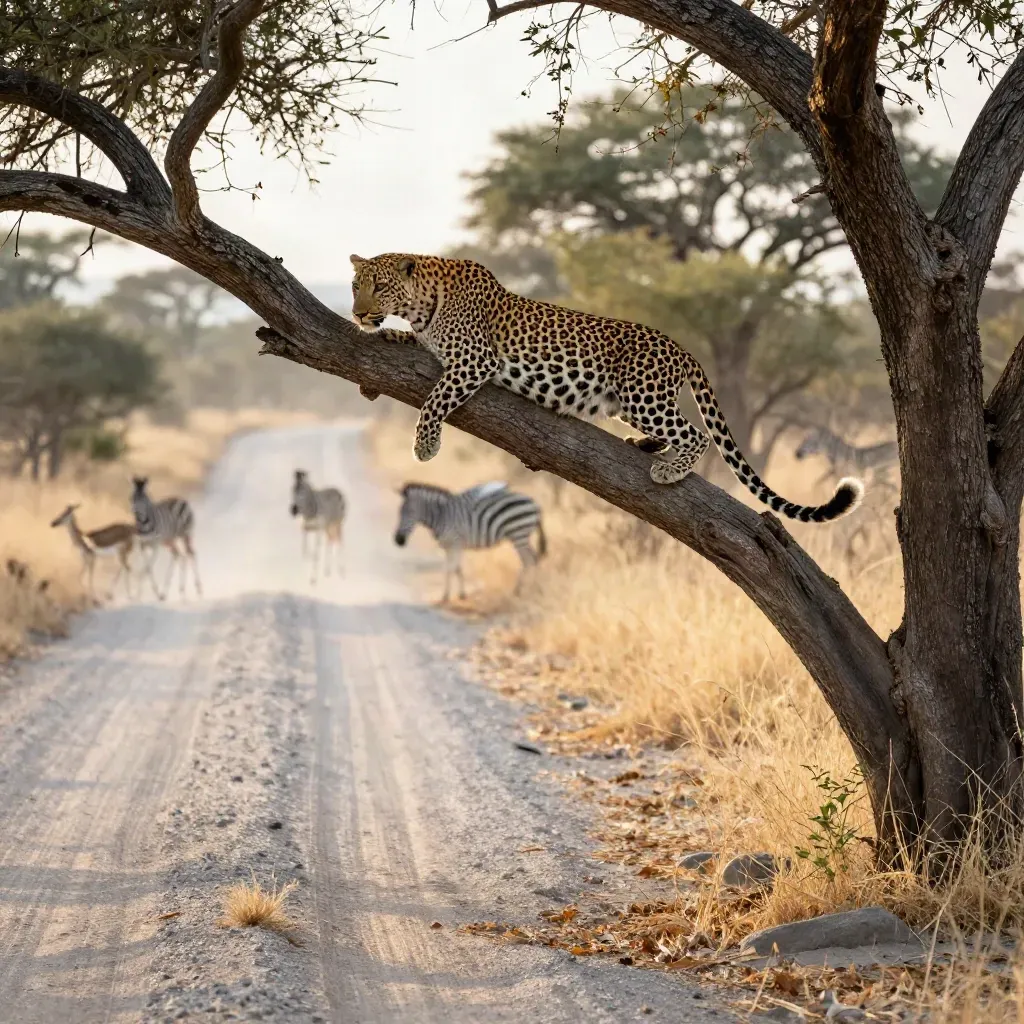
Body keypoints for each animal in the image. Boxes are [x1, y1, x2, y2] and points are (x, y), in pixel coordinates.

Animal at [349, 252, 863, 523]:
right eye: (356, 286)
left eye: (380, 287)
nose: (357, 312)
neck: (423, 304)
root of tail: (682, 348)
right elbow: (412, 344)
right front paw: (385, 336)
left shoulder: (475, 360)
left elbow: (435, 398)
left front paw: (425, 446)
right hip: (633, 403)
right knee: (679, 430)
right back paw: (646, 446)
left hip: (642, 396)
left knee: (695, 434)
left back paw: (668, 469)